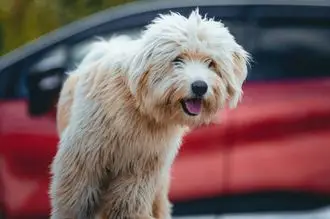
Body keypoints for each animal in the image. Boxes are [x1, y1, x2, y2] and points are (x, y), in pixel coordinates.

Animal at [49, 9, 250, 219]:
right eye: (177, 59)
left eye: (211, 63)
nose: (200, 86)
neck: (138, 107)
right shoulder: (84, 161)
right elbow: (73, 201)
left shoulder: (140, 170)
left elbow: (127, 205)